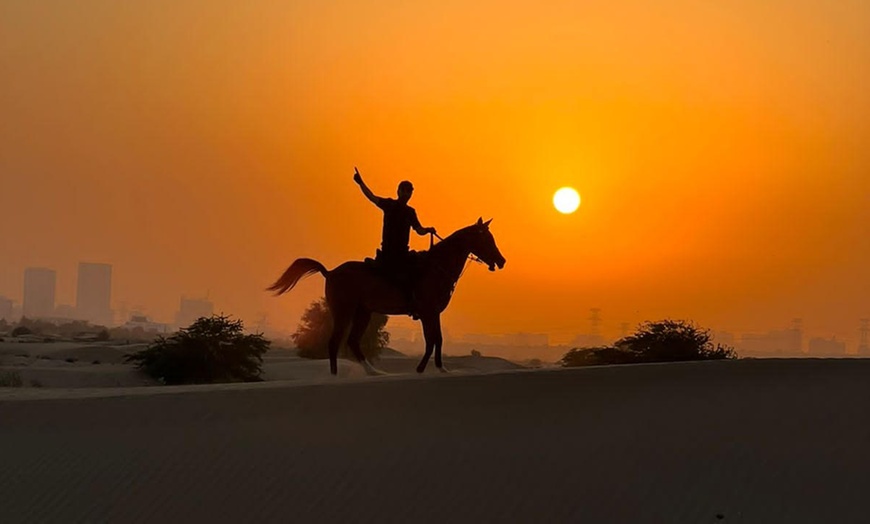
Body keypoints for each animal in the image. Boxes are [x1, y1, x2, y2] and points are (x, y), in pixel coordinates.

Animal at [270, 218, 508, 376]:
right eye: (487, 239)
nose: (502, 261)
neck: (436, 268)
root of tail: (330, 272)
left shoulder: (433, 313)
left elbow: (437, 339)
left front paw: (440, 369)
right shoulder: (427, 313)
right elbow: (432, 340)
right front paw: (423, 368)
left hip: (363, 313)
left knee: (352, 341)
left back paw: (373, 371)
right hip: (343, 311)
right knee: (335, 341)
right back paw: (336, 375)